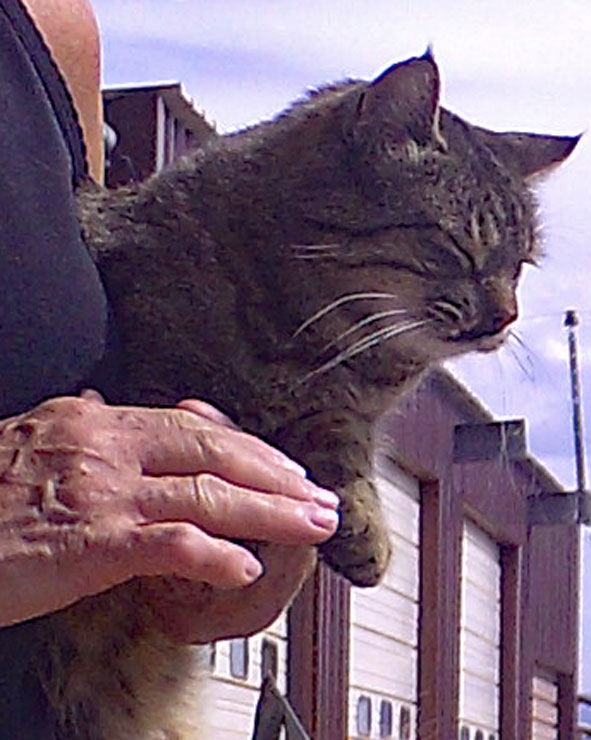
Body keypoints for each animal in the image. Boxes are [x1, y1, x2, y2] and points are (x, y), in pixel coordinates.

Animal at [17, 51, 579, 738]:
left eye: (519, 265)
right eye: (460, 246)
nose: (506, 316)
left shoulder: (339, 413)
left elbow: (339, 453)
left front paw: (360, 523)